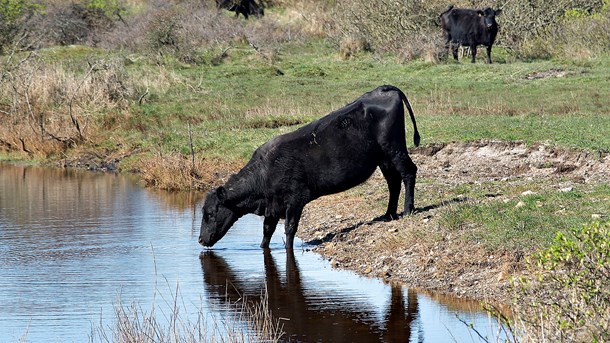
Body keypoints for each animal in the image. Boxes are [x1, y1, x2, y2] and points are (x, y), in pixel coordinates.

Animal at [200, 85, 418, 250]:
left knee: (408, 172)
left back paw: (407, 210)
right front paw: (263, 247)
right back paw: (389, 214)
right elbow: (267, 231)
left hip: (394, 147)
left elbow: (290, 229)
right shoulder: (272, 206)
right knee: (393, 181)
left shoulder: (296, 198)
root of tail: (383, 89)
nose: (200, 240)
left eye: (209, 214)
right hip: (383, 157)